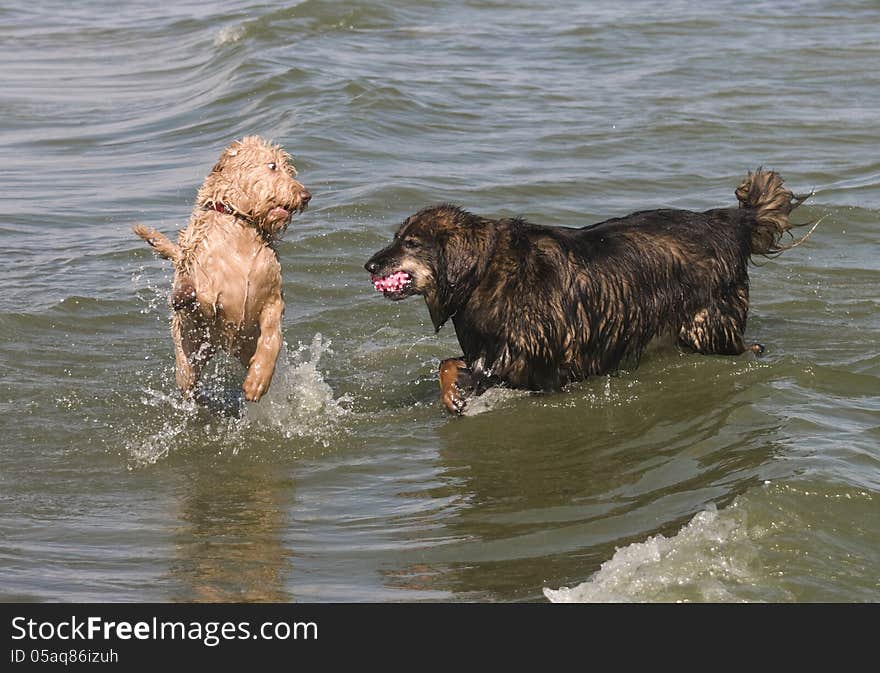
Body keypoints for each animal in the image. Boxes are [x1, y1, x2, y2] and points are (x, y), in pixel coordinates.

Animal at [131, 134, 310, 402]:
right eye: (272, 166)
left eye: (289, 170)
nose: (306, 195)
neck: (242, 228)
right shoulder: (205, 285)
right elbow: (202, 297)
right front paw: (186, 295)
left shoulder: (273, 299)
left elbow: (272, 337)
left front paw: (258, 380)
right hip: (188, 357)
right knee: (188, 382)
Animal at [364, 167, 812, 414]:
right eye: (397, 238)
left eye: (410, 243)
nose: (369, 266)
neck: (485, 273)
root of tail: (728, 223)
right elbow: (448, 365)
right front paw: (452, 397)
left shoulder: (531, 356)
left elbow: (463, 368)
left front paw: (458, 397)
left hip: (708, 328)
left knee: (744, 346)